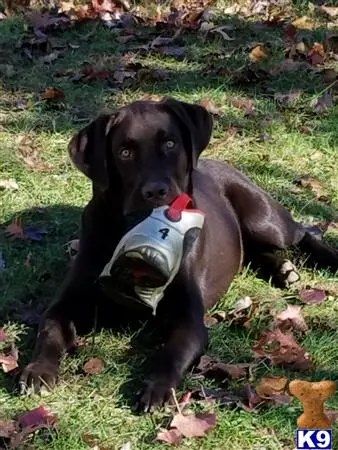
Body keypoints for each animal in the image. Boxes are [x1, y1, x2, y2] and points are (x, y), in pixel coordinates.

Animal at [21, 97, 338, 412]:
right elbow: (49, 330)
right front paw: (39, 370)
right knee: (255, 251)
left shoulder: (189, 319)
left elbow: (173, 351)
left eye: (170, 143)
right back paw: (284, 270)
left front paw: (157, 388)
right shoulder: (67, 304)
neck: (136, 231)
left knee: (300, 233)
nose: (156, 191)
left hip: (264, 219)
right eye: (124, 152)